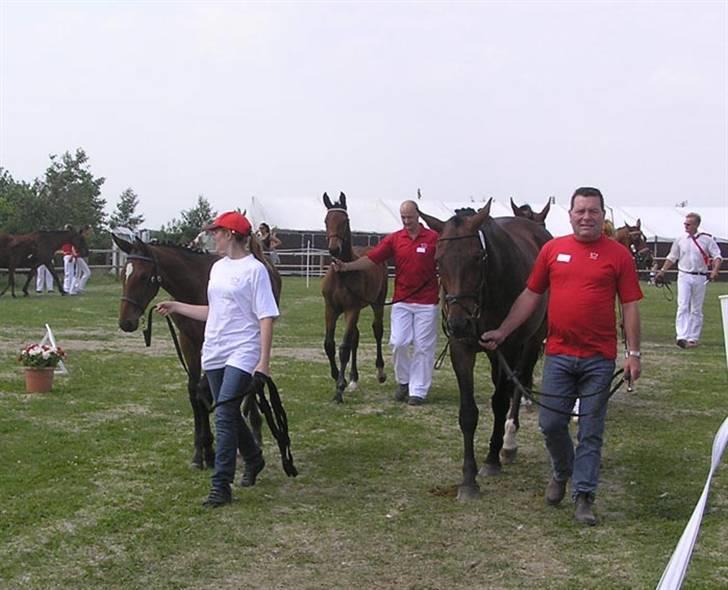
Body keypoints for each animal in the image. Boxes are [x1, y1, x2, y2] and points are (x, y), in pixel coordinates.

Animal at [111, 237, 282, 472]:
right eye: (123, 275)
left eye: (144, 276)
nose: (126, 322)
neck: (195, 289)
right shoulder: (188, 343)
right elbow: (194, 391)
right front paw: (200, 452)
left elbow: (205, 390)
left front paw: (209, 451)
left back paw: (255, 431)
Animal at [320, 192, 386, 404]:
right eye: (326, 220)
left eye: (345, 221)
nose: (334, 249)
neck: (342, 273)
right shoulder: (331, 309)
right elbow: (330, 345)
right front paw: (336, 377)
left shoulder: (351, 309)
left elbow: (343, 348)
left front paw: (339, 389)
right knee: (355, 338)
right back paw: (353, 379)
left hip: (377, 303)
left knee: (377, 330)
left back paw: (380, 372)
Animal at [418, 201, 548, 502]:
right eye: (438, 260)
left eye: (477, 257)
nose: (459, 323)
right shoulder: (462, 349)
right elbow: (468, 413)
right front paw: (468, 479)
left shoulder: (508, 345)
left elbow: (500, 401)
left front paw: (491, 459)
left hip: (531, 340)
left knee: (518, 384)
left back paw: (508, 442)